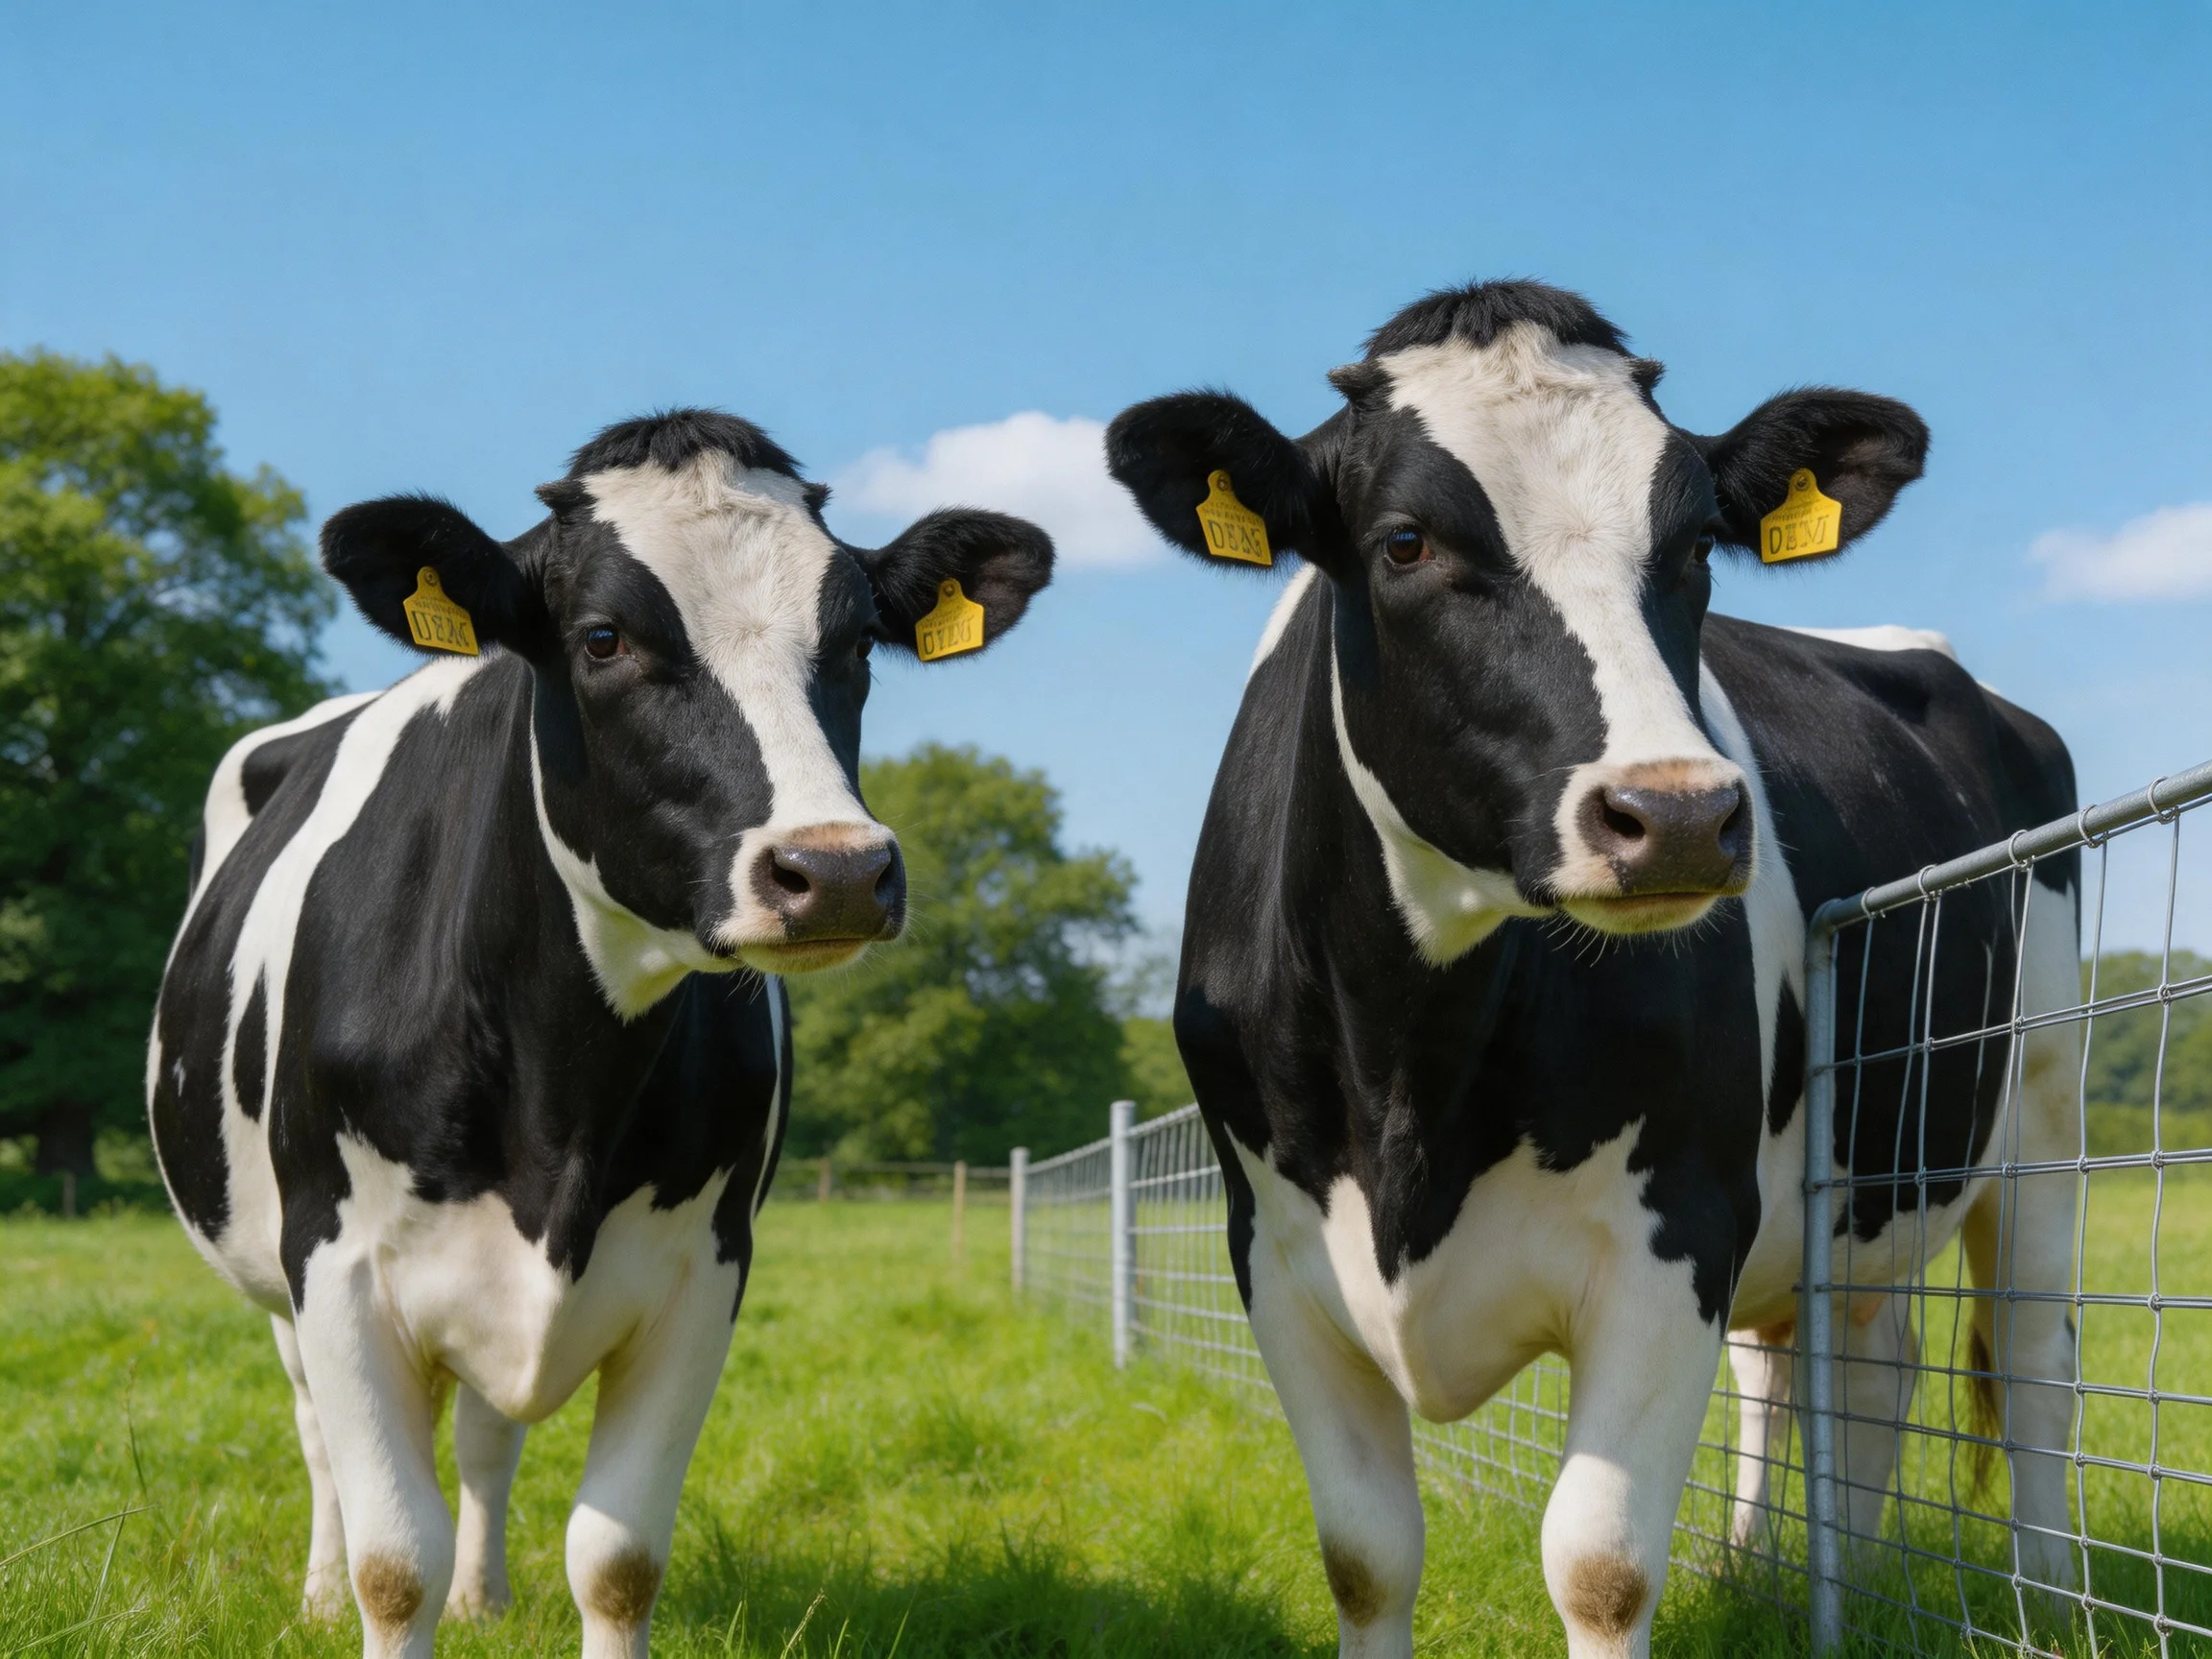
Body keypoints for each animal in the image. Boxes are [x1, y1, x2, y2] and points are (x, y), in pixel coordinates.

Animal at [147, 409, 1053, 1659]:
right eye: (603, 637)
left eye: (860, 644)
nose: (834, 870)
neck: (559, 1097)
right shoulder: (333, 1260)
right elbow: (395, 1562)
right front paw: (362, 1591)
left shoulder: (704, 1270)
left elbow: (617, 1562)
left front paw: (500, 1589)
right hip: (271, 1262)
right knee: (320, 1436)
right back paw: (319, 1592)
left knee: (485, 1435)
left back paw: (486, 1595)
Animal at [1106, 281, 2081, 1658]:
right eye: (1404, 542)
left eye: (1698, 545)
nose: (1675, 814)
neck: (1410, 1072)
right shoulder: (1278, 1256)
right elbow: (1365, 1559)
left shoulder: (1679, 1225)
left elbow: (1601, 1567)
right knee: (1841, 1367)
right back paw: (1770, 1569)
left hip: (2042, 1104)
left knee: (2034, 1357)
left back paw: (2048, 1602)